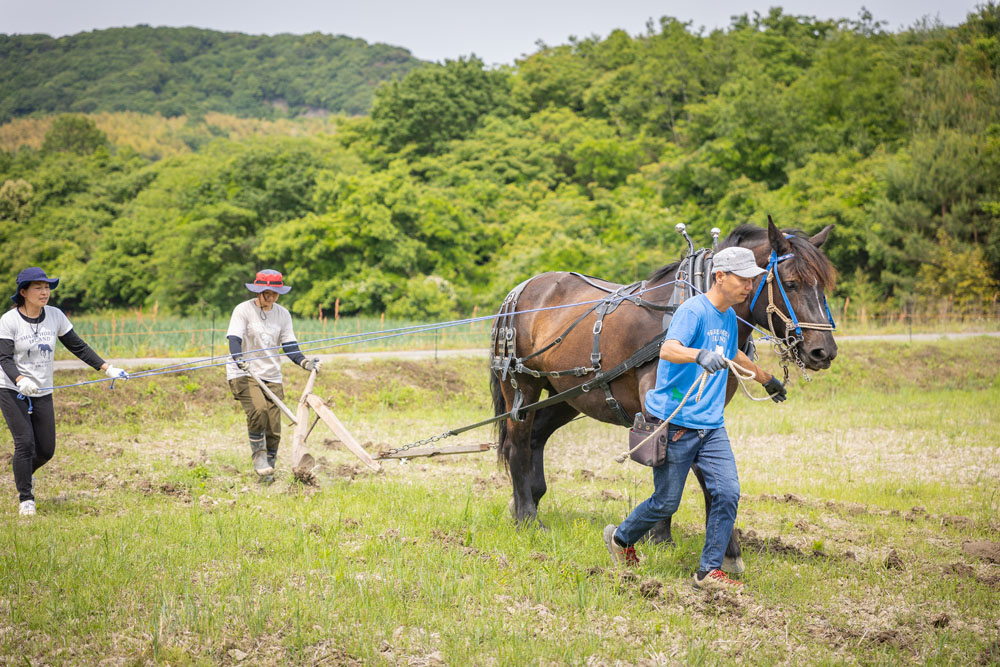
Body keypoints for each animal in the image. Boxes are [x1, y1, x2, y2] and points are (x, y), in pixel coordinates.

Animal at [490, 220, 836, 576]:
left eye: (823, 285)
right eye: (791, 283)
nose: (823, 351)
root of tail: (521, 289)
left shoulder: (705, 409)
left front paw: (662, 537)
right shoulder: (662, 405)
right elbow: (680, 473)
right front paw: (718, 548)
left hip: (567, 394)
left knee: (536, 438)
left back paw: (526, 500)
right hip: (521, 386)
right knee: (517, 445)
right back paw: (528, 518)